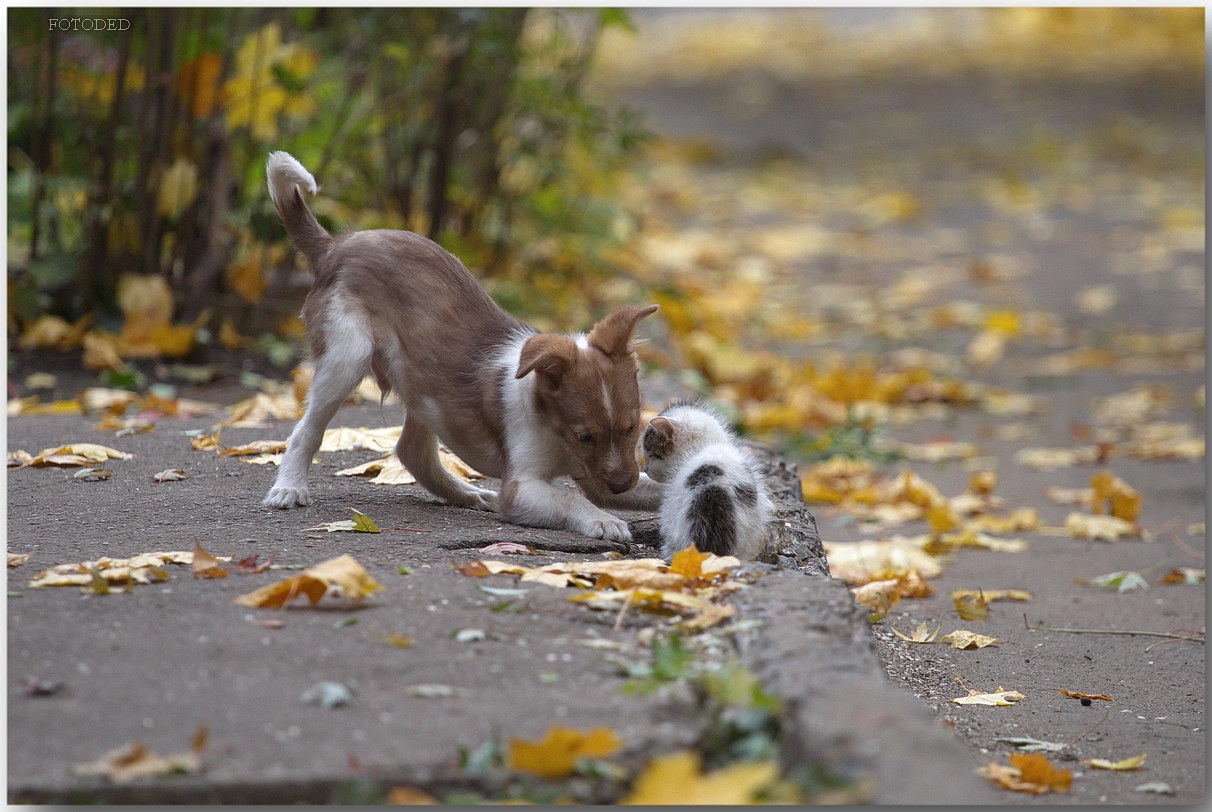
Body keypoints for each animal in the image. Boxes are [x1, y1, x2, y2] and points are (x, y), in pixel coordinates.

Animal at [263, 153, 664, 547]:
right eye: (585, 436)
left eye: (632, 427)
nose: (621, 485)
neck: (549, 422)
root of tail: (335, 244)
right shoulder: (522, 486)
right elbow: (570, 497)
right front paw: (603, 520)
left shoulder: (595, 472)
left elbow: (648, 487)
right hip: (347, 356)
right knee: (306, 431)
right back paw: (289, 488)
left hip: (422, 384)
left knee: (412, 451)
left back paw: (468, 494)